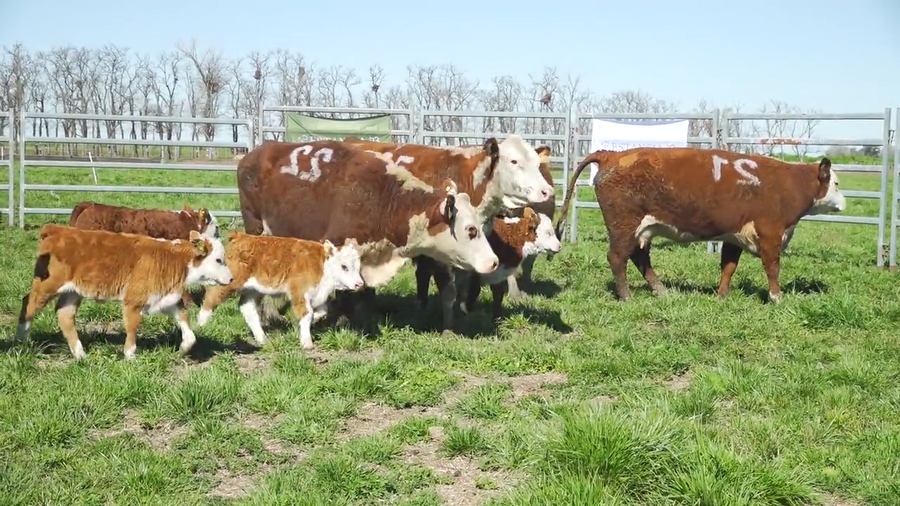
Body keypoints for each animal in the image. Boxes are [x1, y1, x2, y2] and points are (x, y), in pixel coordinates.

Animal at [15, 225, 233, 360]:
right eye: (218, 260)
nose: (231, 279)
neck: (172, 258)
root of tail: (56, 229)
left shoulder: (165, 298)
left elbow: (186, 324)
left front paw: (183, 348)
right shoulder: (133, 300)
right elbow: (132, 326)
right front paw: (130, 354)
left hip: (72, 292)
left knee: (64, 315)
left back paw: (80, 354)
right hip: (47, 286)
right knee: (29, 302)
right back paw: (22, 341)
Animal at [196, 234, 365, 350]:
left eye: (358, 266)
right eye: (344, 266)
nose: (359, 283)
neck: (321, 265)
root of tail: (240, 236)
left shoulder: (317, 295)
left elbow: (320, 312)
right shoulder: (299, 292)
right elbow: (306, 314)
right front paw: (307, 342)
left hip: (254, 290)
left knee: (247, 308)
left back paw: (262, 339)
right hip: (228, 282)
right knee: (211, 298)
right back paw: (201, 324)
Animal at [235, 139, 500, 325]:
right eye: (471, 230)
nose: (494, 261)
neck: (383, 198)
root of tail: (255, 153)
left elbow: (361, 290)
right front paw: (339, 319)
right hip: (257, 229)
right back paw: (267, 315)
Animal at [341, 135, 555, 333]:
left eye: (537, 163)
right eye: (513, 161)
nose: (548, 191)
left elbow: (463, 286)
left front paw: (462, 314)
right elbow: (448, 290)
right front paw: (448, 329)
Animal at [554, 147, 847, 303]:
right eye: (836, 183)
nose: (844, 203)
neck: (787, 184)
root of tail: (612, 154)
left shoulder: (733, 235)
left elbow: (729, 266)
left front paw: (722, 295)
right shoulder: (771, 234)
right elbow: (772, 267)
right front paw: (776, 297)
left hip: (640, 230)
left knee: (640, 258)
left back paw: (662, 291)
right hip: (624, 226)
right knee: (617, 258)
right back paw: (627, 296)